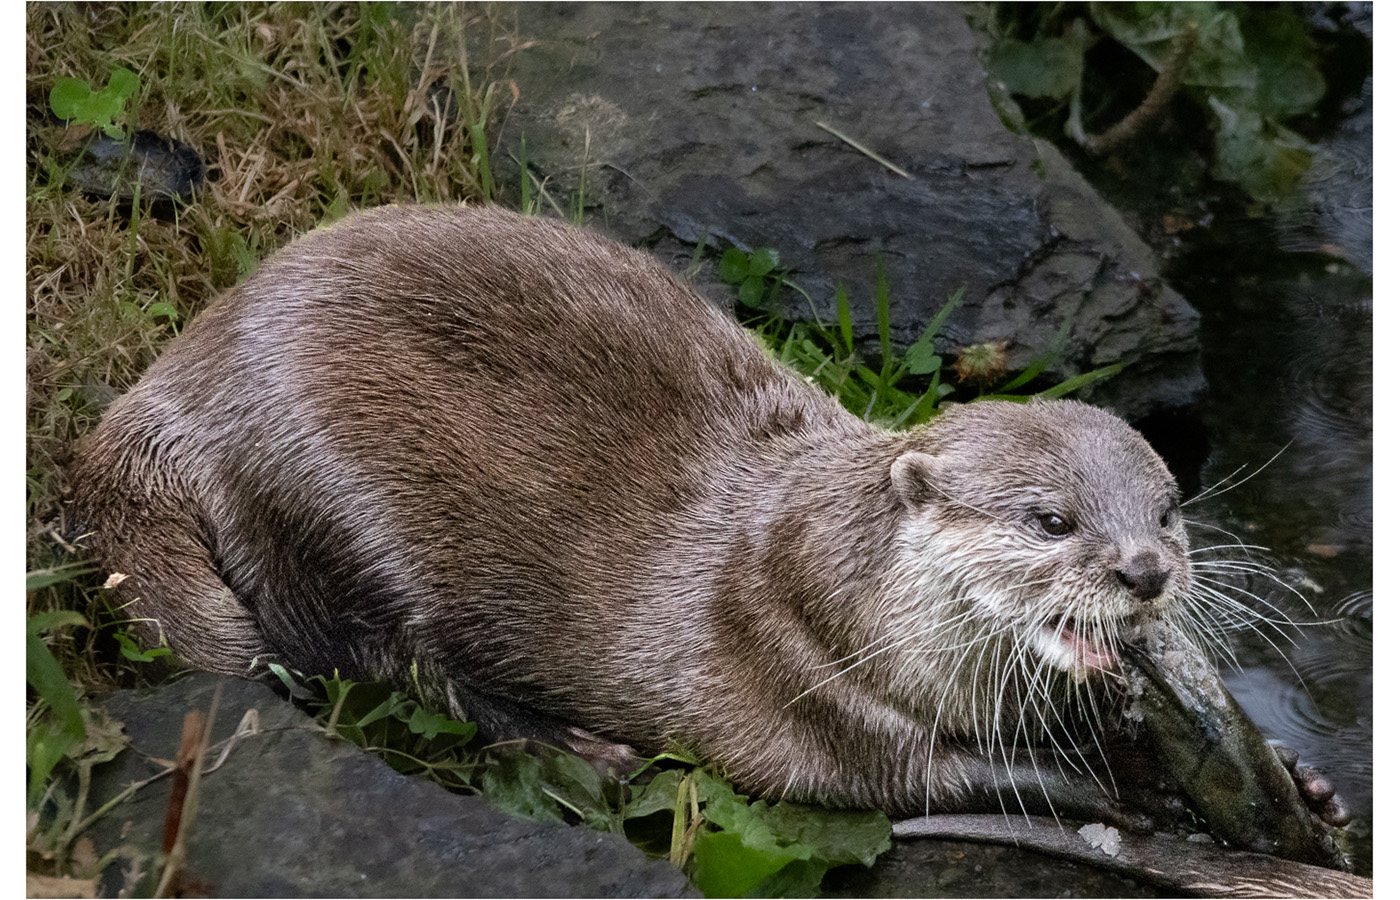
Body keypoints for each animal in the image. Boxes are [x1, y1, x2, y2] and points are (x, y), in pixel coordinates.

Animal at [70, 204, 1194, 820]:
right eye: (1049, 521)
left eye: (1170, 510)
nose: (1143, 571)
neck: (833, 589)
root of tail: (177, 387)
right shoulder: (805, 684)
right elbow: (917, 779)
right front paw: (1097, 790)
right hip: (330, 499)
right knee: (382, 662)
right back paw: (582, 750)